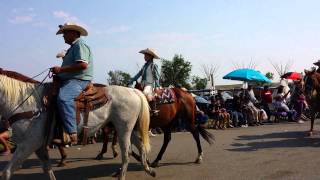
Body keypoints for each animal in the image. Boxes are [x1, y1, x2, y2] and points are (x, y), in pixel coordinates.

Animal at [0, 68, 155, 179]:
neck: (27, 104)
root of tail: (133, 91)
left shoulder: (28, 144)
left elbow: (6, 172)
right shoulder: (39, 147)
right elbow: (48, 170)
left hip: (124, 129)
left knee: (126, 154)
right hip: (127, 128)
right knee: (140, 147)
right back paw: (149, 169)